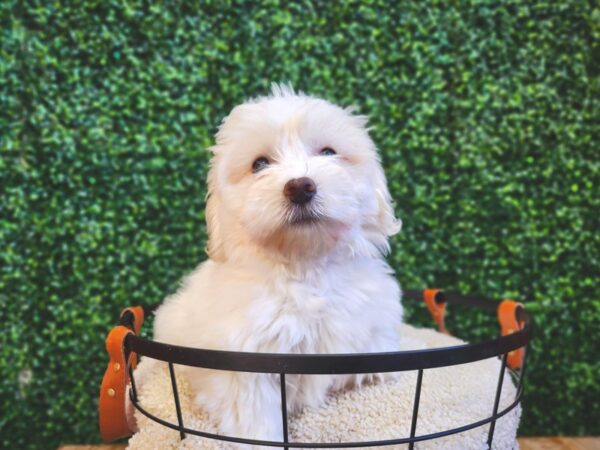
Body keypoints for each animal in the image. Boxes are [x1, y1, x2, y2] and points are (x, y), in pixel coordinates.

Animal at [152, 84, 404, 442]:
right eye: (259, 164)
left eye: (328, 152)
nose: (300, 186)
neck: (305, 268)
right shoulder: (247, 371)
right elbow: (256, 421)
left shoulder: (370, 344)